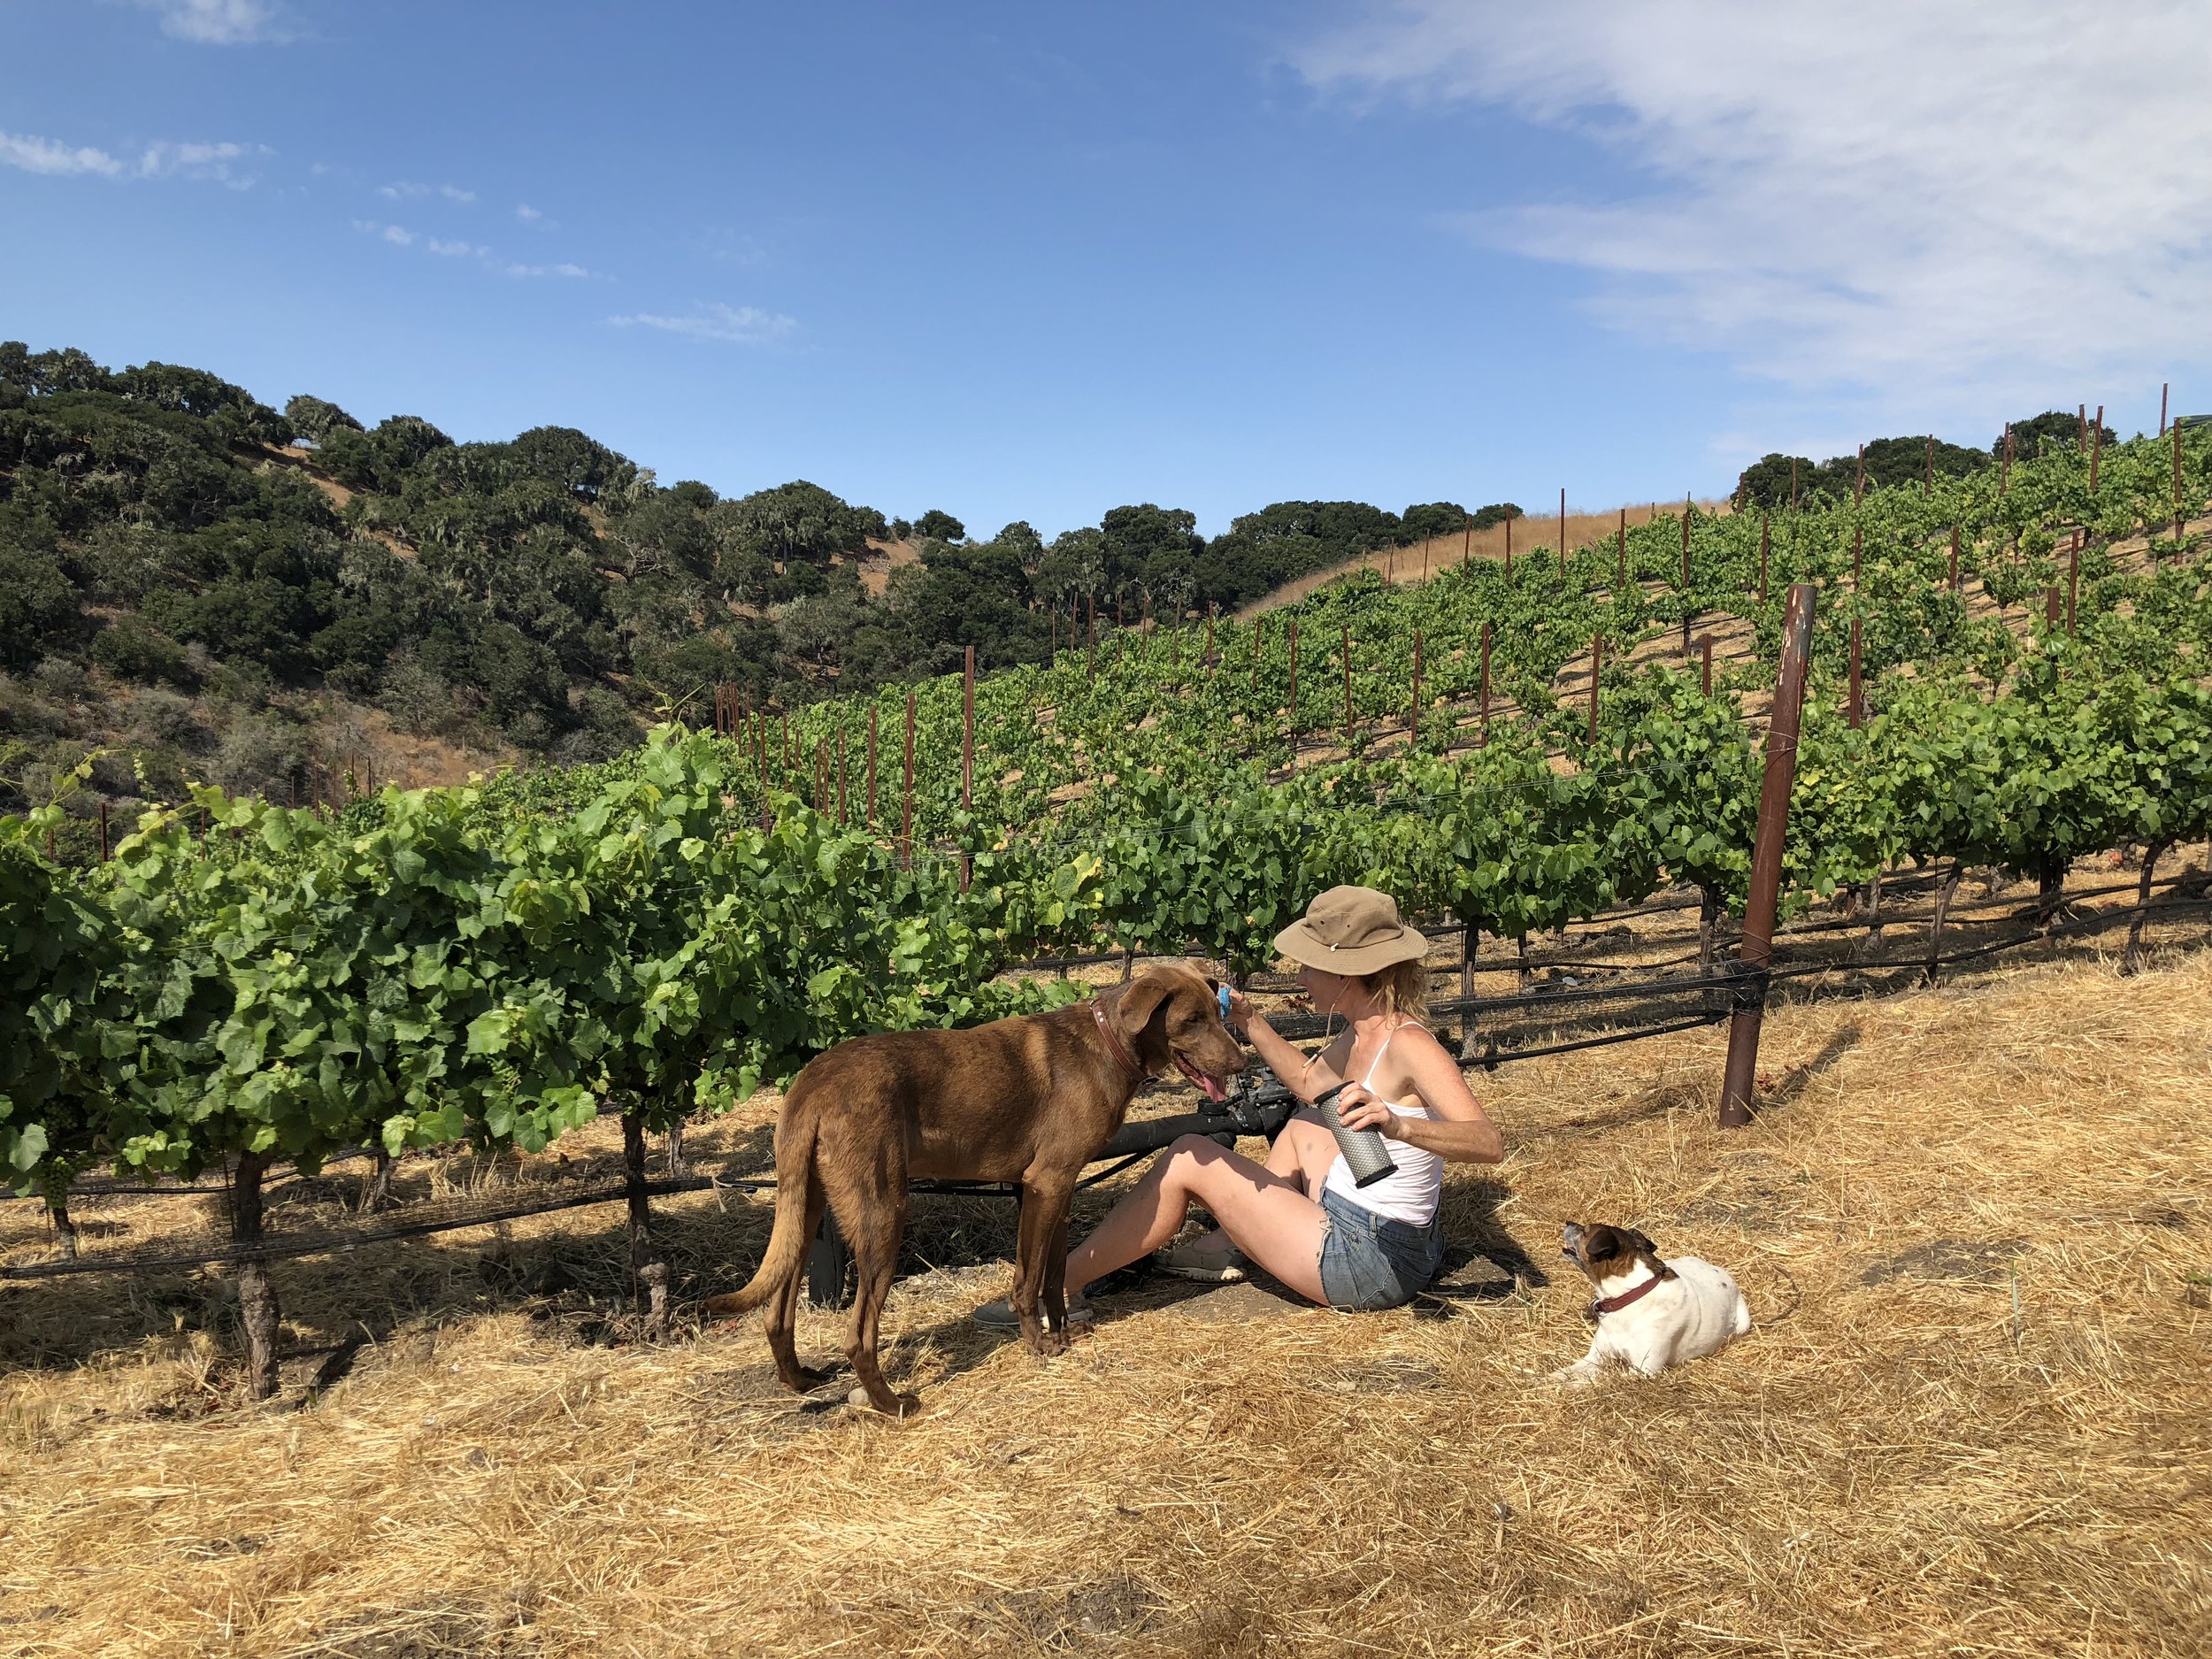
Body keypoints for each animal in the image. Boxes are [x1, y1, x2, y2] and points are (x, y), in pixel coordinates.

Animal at [706, 963, 1246, 1415]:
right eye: (1191, 1020)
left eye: (1217, 1014)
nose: (1242, 1064)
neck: (1108, 1044)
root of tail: (811, 1082)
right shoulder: (1044, 1183)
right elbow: (1027, 1280)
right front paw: (1038, 1346)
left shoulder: (1061, 1190)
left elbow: (1053, 1274)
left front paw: (1063, 1333)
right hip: (882, 1213)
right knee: (858, 1335)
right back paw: (892, 1404)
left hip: (806, 1207)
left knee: (778, 1313)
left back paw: (801, 1380)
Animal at [1550, 1221, 1751, 1383]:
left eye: (1585, 1231)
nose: (1568, 1222)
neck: (1629, 1294)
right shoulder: (1596, 1356)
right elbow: (1567, 1371)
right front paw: (1549, 1380)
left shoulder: (1644, 1370)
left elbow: (1600, 1380)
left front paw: (1573, 1386)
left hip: (1743, 1324)